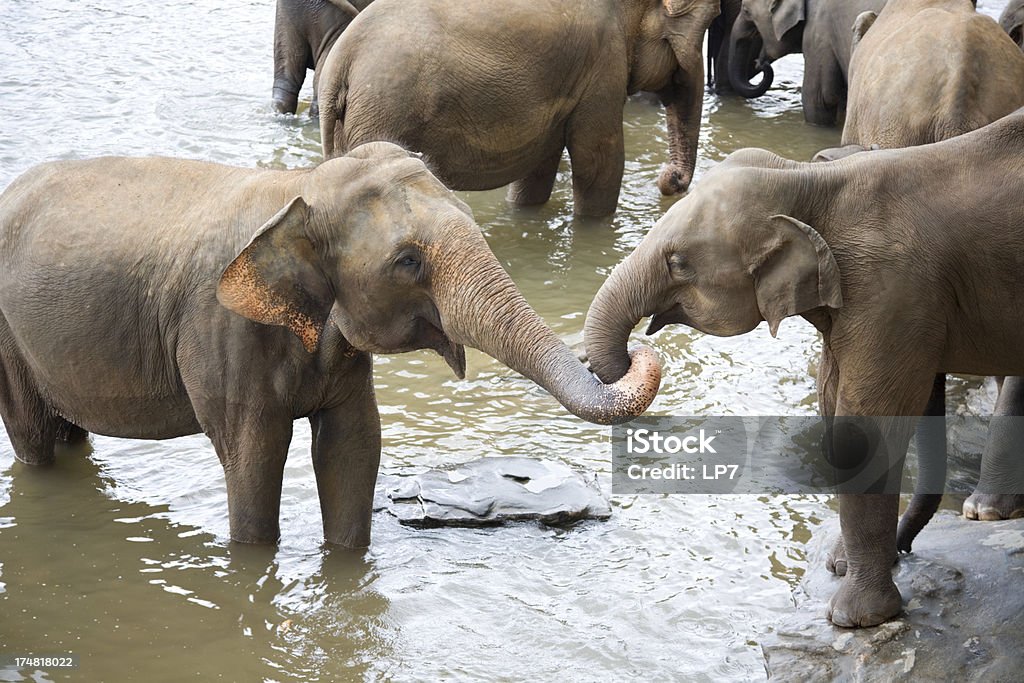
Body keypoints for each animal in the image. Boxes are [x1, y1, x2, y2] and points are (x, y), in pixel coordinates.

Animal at [0, 141, 663, 548]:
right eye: (407, 261)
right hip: (6, 338)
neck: (301, 189)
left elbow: (353, 446)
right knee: (31, 433)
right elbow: (254, 458)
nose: (640, 347)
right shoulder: (221, 334)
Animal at [319, 0, 720, 218]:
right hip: (383, 113)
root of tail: (340, 63)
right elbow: (598, 166)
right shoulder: (602, 67)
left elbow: (538, 169)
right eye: (711, 19)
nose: (670, 180)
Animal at [585, 109, 1024, 626]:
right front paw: (841, 566)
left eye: (679, 263)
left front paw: (854, 618)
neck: (808, 180)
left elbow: (860, 429)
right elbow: (834, 403)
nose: (636, 355)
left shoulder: (892, 290)